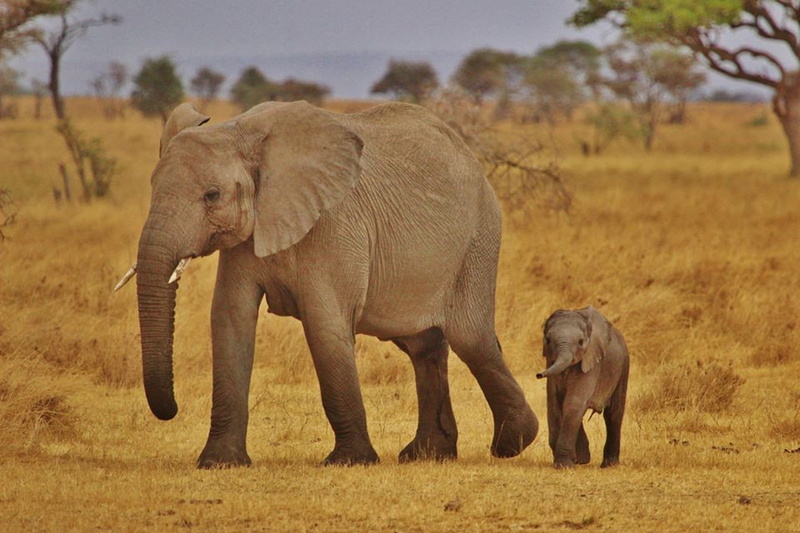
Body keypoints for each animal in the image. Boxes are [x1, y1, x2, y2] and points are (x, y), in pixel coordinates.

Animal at [118, 100, 539, 468]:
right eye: (152, 187)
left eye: (212, 195)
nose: (170, 410)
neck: (242, 133)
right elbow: (229, 321)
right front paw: (219, 463)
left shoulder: (334, 224)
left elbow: (324, 327)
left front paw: (350, 461)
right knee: (423, 346)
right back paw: (427, 454)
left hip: (478, 239)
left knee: (471, 338)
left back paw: (513, 443)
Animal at [536, 306, 629, 468]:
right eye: (548, 340)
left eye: (580, 342)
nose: (539, 375)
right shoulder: (551, 363)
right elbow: (554, 404)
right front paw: (575, 461)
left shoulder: (592, 362)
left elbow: (574, 403)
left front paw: (564, 466)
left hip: (623, 366)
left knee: (614, 414)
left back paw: (609, 465)